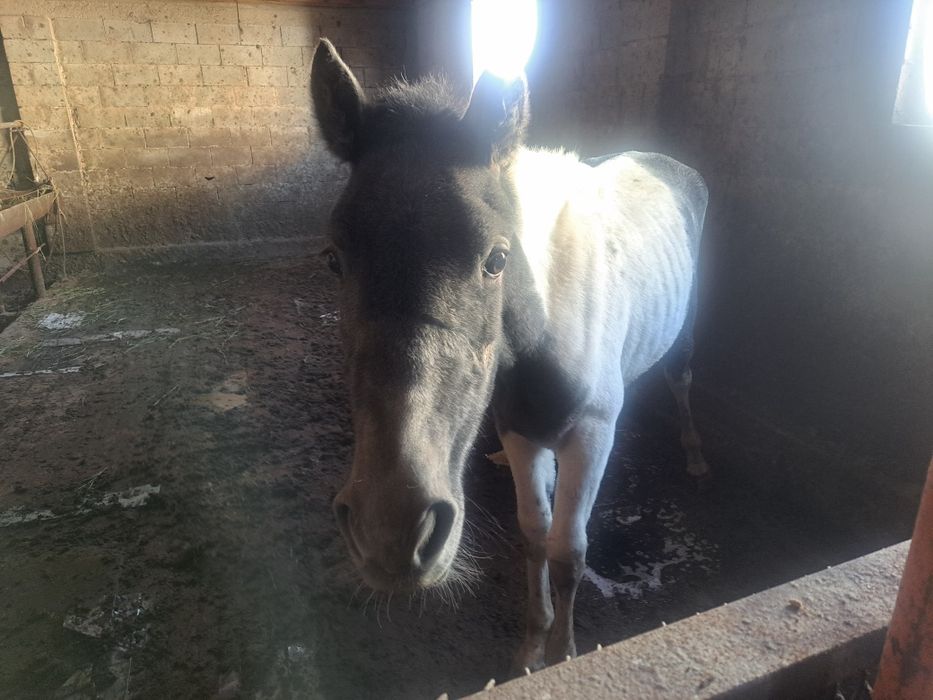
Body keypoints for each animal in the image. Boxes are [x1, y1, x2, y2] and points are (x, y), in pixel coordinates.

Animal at [310, 38, 710, 672]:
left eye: (496, 259)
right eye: (334, 259)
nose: (391, 534)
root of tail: (670, 164)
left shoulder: (590, 436)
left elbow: (568, 551)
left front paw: (564, 652)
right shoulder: (521, 429)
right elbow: (534, 534)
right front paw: (531, 645)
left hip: (686, 329)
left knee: (682, 376)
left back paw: (694, 453)